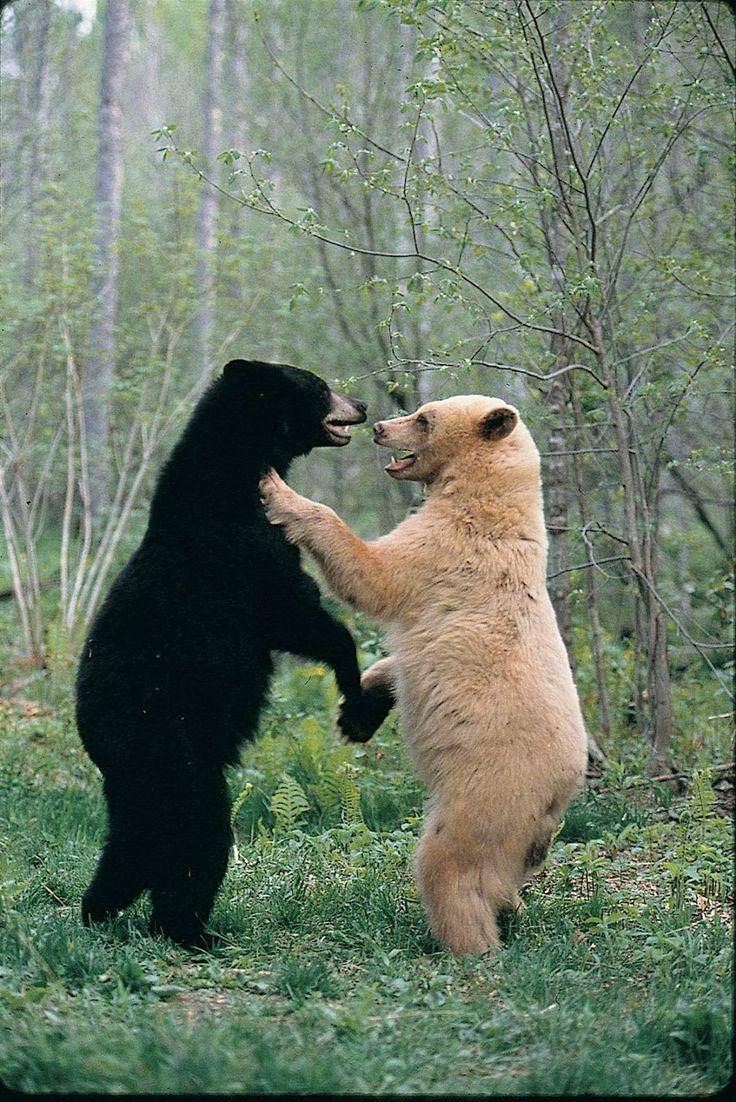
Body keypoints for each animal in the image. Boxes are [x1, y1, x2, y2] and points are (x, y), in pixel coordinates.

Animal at [76, 359, 376, 947]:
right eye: (317, 386)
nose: (360, 405)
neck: (232, 476)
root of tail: (96, 740)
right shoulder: (245, 552)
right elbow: (296, 614)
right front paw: (354, 702)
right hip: (172, 748)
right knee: (200, 838)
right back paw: (190, 930)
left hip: (141, 780)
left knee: (133, 846)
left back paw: (99, 908)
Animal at [259, 394, 588, 955]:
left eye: (424, 417)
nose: (379, 427)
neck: (484, 491)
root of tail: (561, 789)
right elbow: (398, 661)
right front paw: (357, 712)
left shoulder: (446, 547)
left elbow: (374, 575)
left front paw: (277, 488)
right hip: (524, 825)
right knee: (505, 875)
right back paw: (512, 912)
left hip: (487, 787)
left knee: (450, 864)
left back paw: (469, 945)